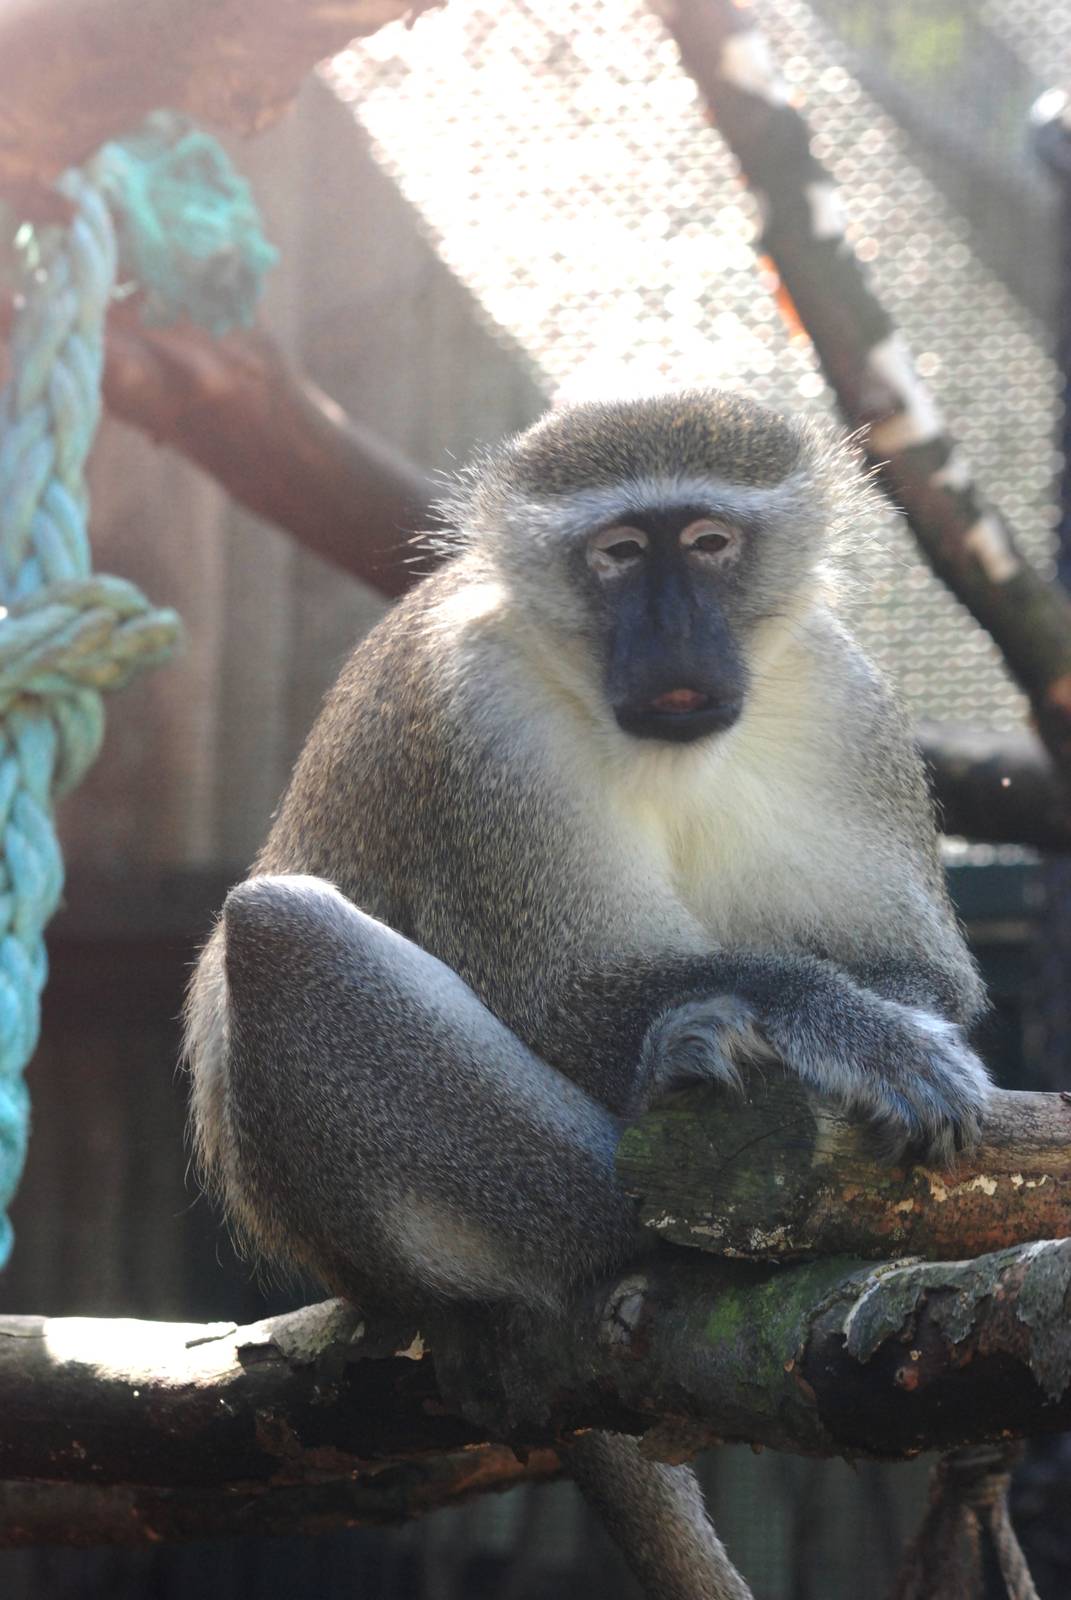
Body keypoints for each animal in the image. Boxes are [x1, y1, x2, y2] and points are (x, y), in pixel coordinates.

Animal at [185, 389, 989, 1600]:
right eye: (617, 554)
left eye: (706, 542)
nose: (671, 636)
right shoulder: (482, 726)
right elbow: (563, 996)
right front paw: (836, 1027)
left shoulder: (847, 700)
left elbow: (922, 970)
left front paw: (881, 1032)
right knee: (284, 936)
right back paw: (673, 1220)